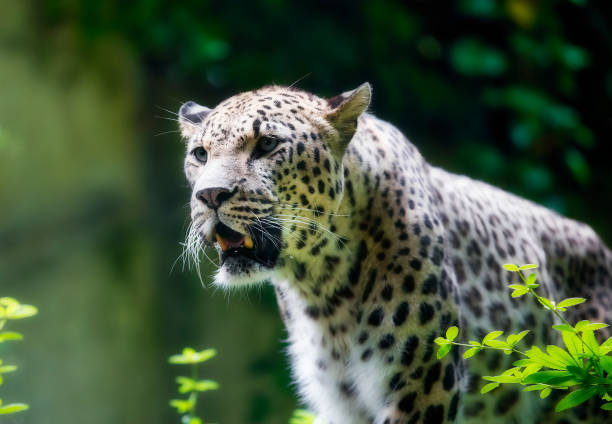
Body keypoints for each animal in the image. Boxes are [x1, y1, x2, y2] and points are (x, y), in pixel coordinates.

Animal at [177, 83, 612, 424]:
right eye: (200, 154)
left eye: (267, 144)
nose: (209, 195)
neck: (322, 286)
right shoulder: (340, 402)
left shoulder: (424, 385)